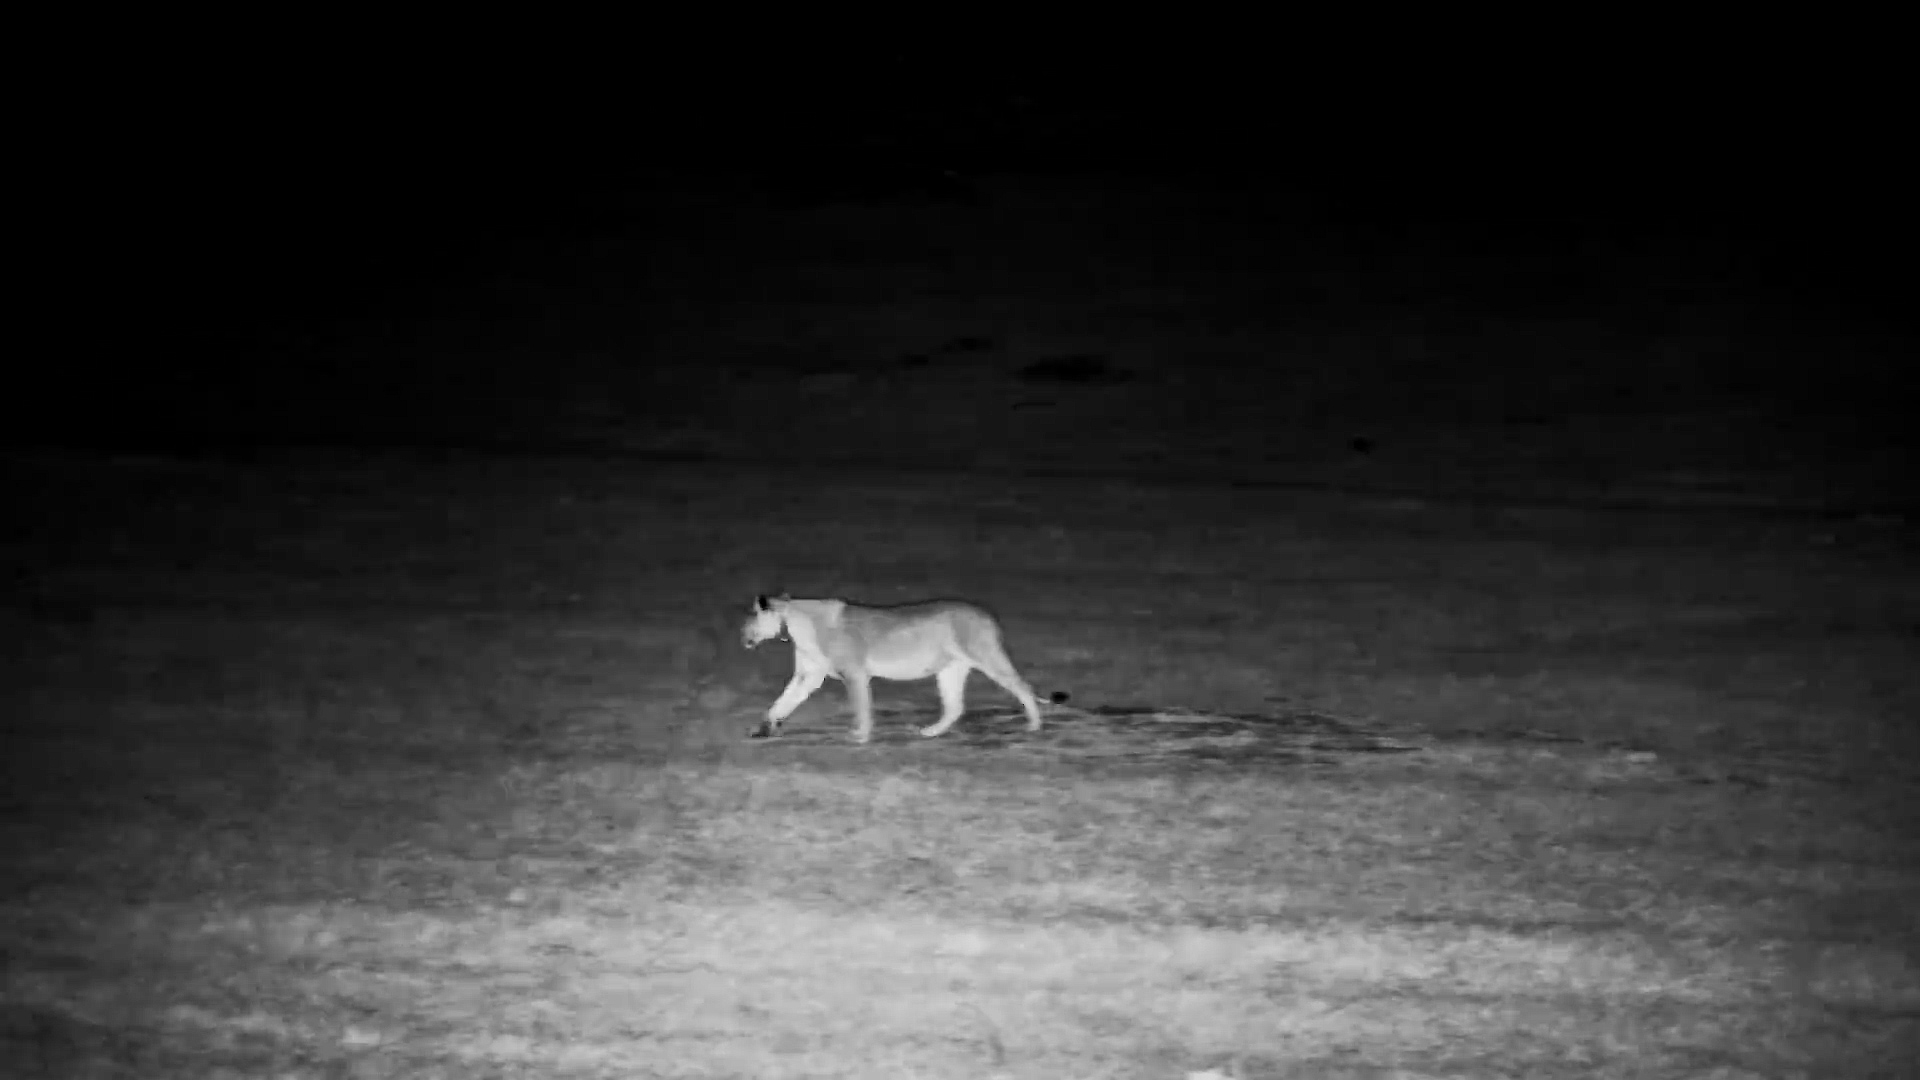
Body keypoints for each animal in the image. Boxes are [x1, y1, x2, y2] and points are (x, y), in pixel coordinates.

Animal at [740, 593, 1066, 743]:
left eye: (750, 619)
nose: (742, 636)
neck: (794, 622)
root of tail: (986, 614)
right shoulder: (808, 675)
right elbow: (783, 701)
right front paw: (764, 728)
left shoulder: (854, 673)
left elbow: (861, 706)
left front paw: (861, 735)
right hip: (951, 669)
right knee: (955, 706)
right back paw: (931, 732)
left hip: (987, 657)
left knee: (1024, 687)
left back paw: (1034, 725)